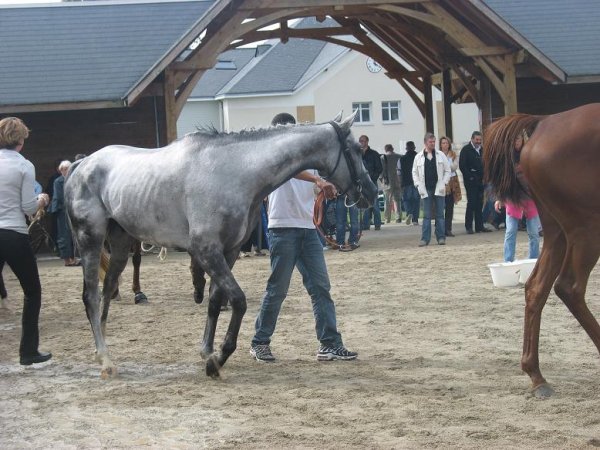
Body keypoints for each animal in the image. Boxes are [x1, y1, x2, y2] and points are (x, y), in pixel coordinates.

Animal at [65, 111, 376, 376]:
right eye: (355, 149)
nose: (371, 192)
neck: (234, 172)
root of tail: (81, 165)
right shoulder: (206, 250)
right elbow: (238, 300)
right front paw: (217, 360)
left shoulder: (229, 251)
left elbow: (215, 301)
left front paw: (207, 351)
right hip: (90, 240)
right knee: (91, 296)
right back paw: (105, 361)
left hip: (119, 243)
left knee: (107, 290)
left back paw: (103, 351)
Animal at [482, 103, 600, 398]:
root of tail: (545, 122)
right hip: (588, 229)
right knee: (569, 287)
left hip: (557, 233)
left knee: (537, 287)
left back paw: (535, 374)